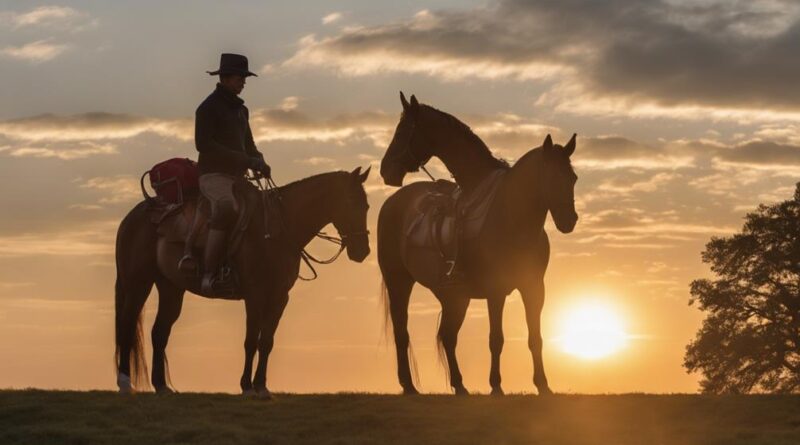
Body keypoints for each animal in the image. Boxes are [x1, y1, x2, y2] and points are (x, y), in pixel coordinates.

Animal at [115, 166, 372, 396]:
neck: (276, 229)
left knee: (159, 332)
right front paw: (246, 386)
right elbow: (250, 341)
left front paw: (261, 386)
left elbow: (266, 341)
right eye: (350, 202)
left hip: (171, 288)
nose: (362, 251)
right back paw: (125, 382)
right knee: (127, 325)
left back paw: (161, 386)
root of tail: (133, 216)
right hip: (138, 284)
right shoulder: (255, 295)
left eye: (367, 206)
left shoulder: (279, 297)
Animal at [378, 92, 580, 394]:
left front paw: (543, 385)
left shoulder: (534, 288)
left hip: (454, 297)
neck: (512, 213)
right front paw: (496, 386)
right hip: (399, 282)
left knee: (448, 336)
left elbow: (535, 337)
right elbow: (496, 338)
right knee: (403, 332)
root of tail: (392, 202)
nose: (569, 220)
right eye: (550, 177)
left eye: (572, 178)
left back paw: (460, 386)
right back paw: (409, 385)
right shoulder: (496, 290)